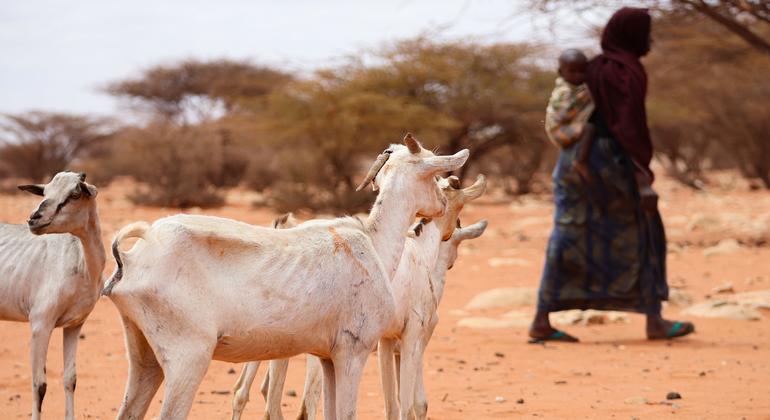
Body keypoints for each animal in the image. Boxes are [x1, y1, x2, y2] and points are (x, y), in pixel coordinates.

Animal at [0, 171, 105, 420]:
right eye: (45, 192)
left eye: (75, 193)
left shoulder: (75, 325)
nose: (34, 219)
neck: (82, 265)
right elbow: (39, 385)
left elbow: (70, 379)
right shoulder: (40, 325)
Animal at [103, 135, 468, 420]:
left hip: (144, 357)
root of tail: (136, 255)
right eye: (433, 174)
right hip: (188, 359)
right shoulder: (353, 353)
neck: (373, 243)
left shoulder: (327, 359)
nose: (440, 206)